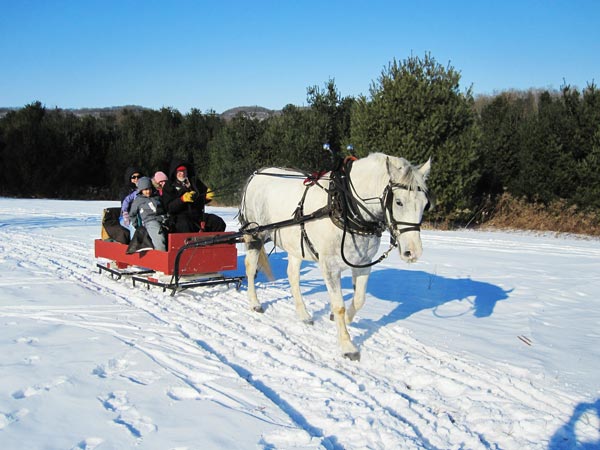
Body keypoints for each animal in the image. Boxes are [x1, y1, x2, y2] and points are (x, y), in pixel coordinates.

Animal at [237, 153, 428, 360]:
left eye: (425, 204)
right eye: (399, 201)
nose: (413, 252)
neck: (345, 206)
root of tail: (257, 173)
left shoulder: (363, 263)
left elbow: (359, 299)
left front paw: (344, 319)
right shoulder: (329, 265)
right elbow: (339, 305)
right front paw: (347, 346)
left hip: (295, 245)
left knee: (293, 276)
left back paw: (303, 314)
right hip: (255, 234)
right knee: (250, 267)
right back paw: (255, 303)